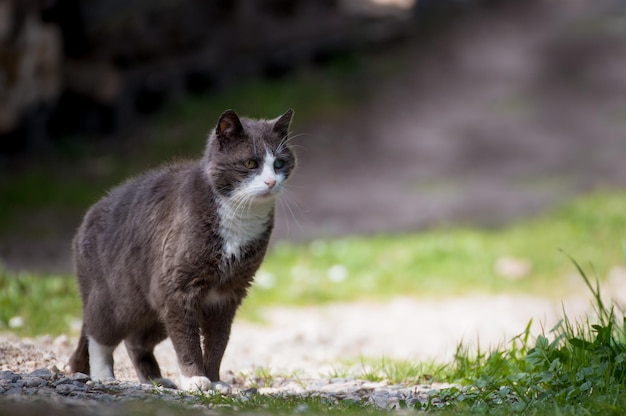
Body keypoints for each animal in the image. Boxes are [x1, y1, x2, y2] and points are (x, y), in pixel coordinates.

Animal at [67, 108, 296, 394]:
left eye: (280, 163)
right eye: (250, 163)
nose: (270, 181)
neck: (239, 217)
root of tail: (86, 219)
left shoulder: (228, 294)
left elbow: (218, 341)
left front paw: (215, 379)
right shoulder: (177, 289)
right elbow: (187, 339)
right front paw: (194, 378)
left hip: (152, 310)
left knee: (135, 341)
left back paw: (155, 380)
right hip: (118, 295)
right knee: (98, 332)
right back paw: (103, 376)